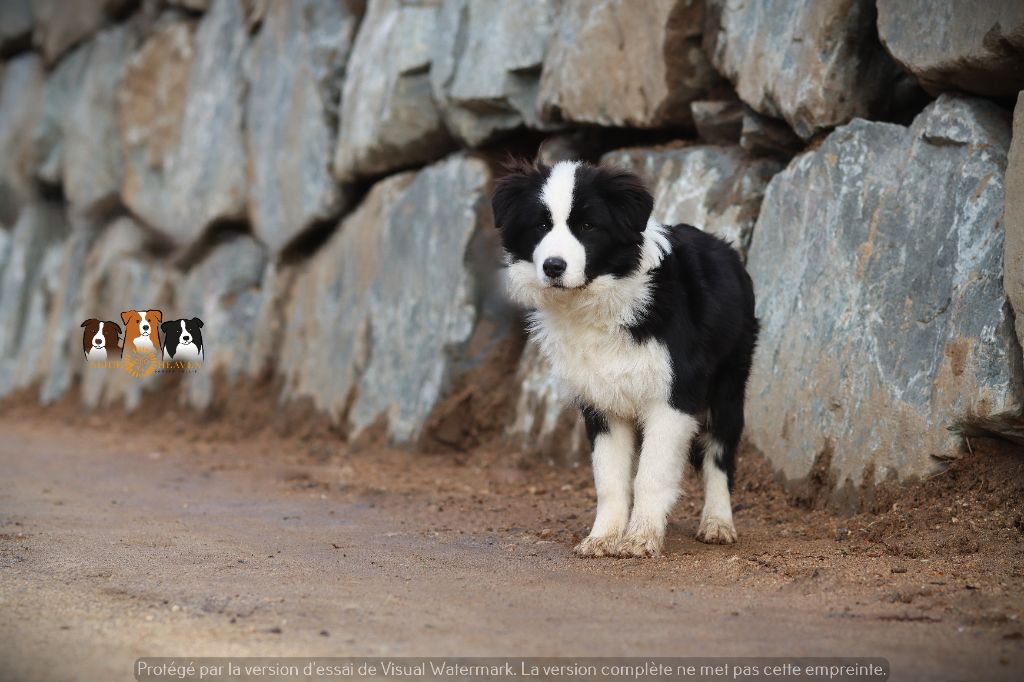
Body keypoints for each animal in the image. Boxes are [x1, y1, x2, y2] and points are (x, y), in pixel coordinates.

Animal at [491, 160, 757, 557]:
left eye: (588, 226)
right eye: (541, 225)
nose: (553, 266)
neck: (601, 303)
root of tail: (726, 247)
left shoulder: (675, 395)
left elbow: (652, 473)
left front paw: (641, 538)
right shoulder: (602, 402)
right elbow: (609, 479)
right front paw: (603, 537)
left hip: (729, 383)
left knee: (719, 453)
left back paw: (718, 523)